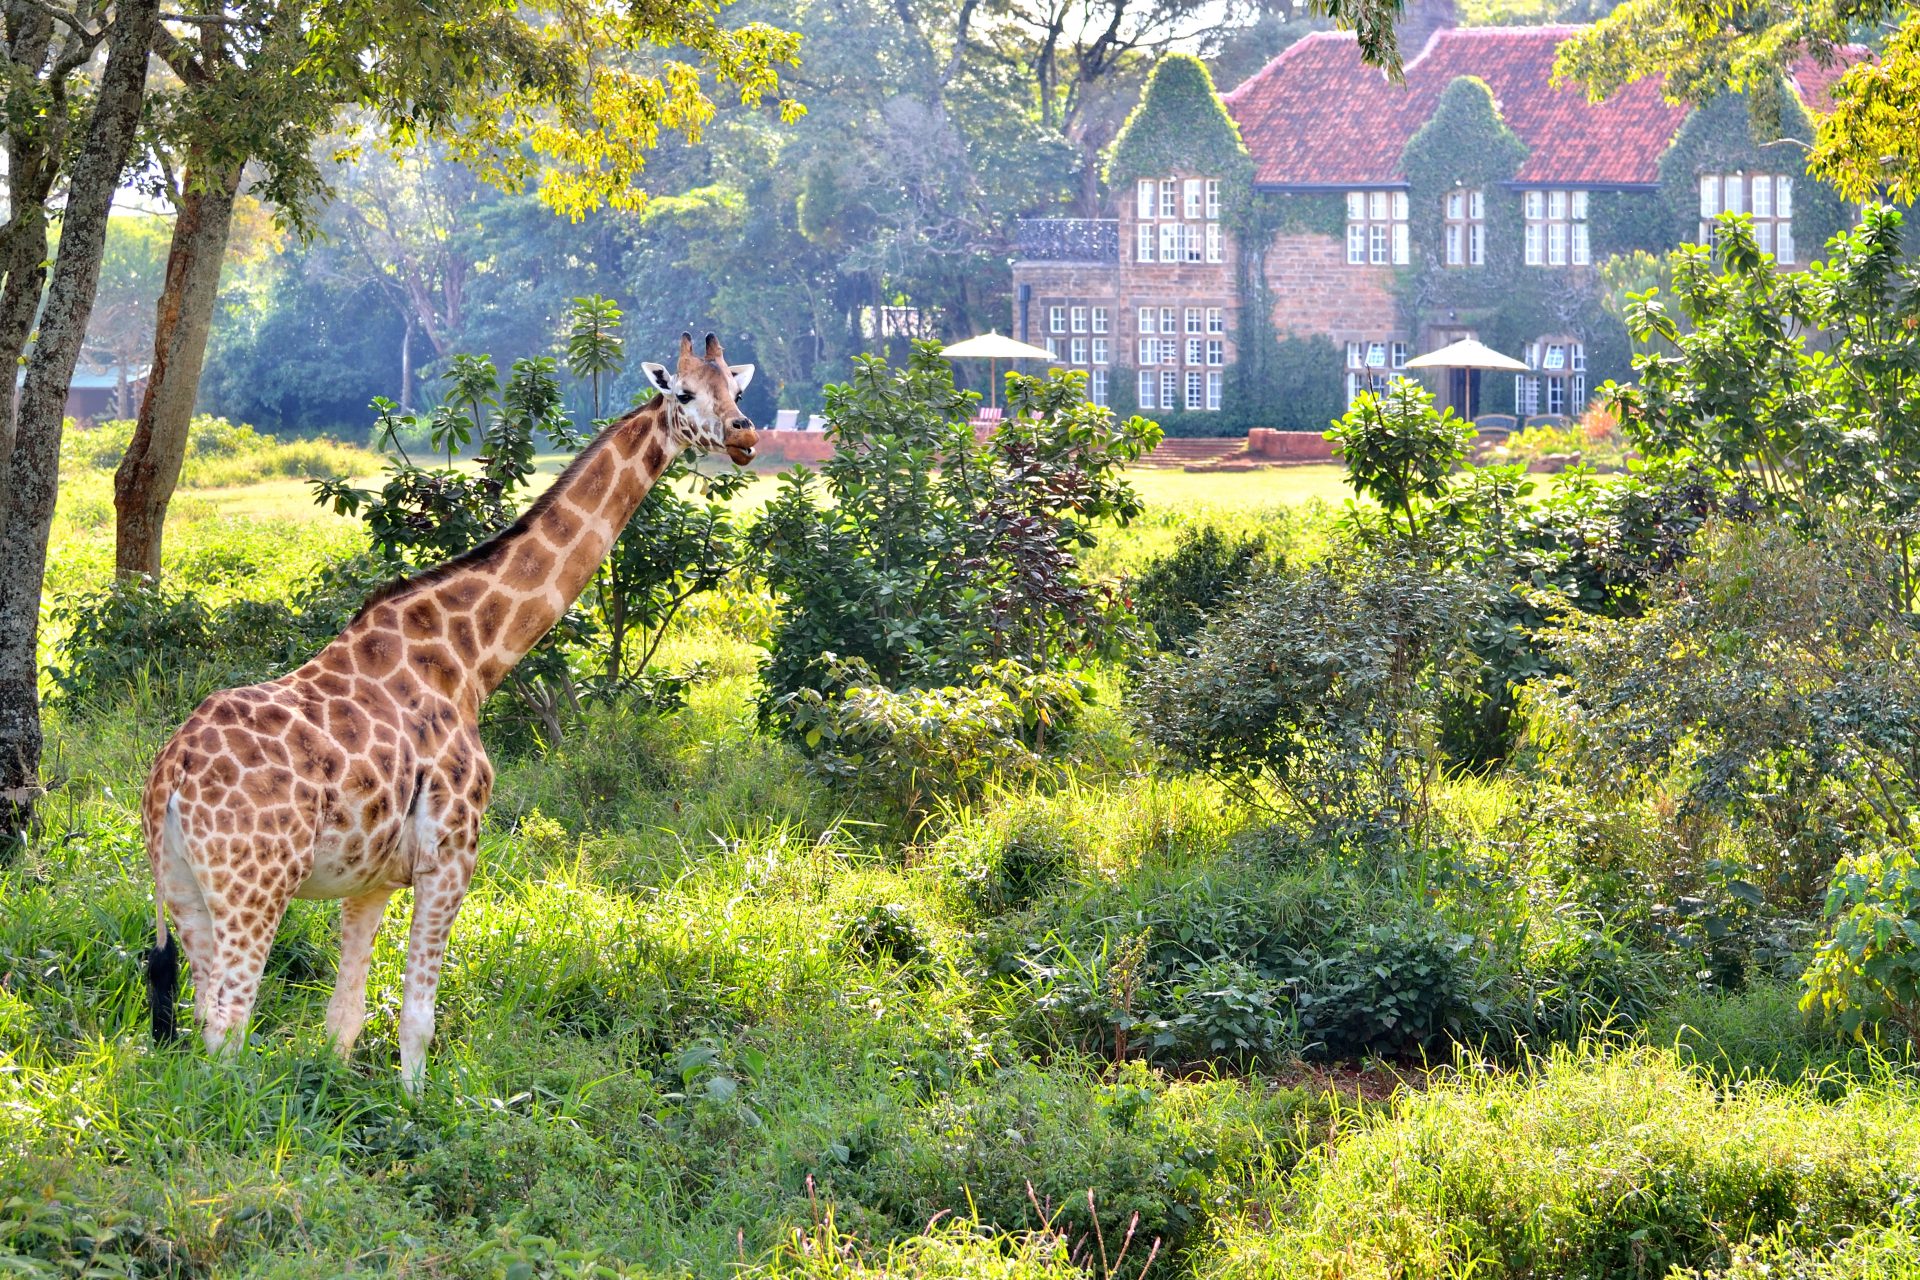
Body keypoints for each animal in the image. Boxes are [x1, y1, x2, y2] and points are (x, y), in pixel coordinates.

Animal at [140, 333, 756, 1090]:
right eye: (686, 394)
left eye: (737, 389)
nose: (745, 436)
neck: (471, 660)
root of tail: (172, 772)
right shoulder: (453, 854)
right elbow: (417, 1019)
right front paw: (416, 1108)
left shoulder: (371, 875)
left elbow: (344, 1019)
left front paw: (344, 1101)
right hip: (255, 884)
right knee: (228, 1021)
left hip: (181, 885)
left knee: (202, 1013)